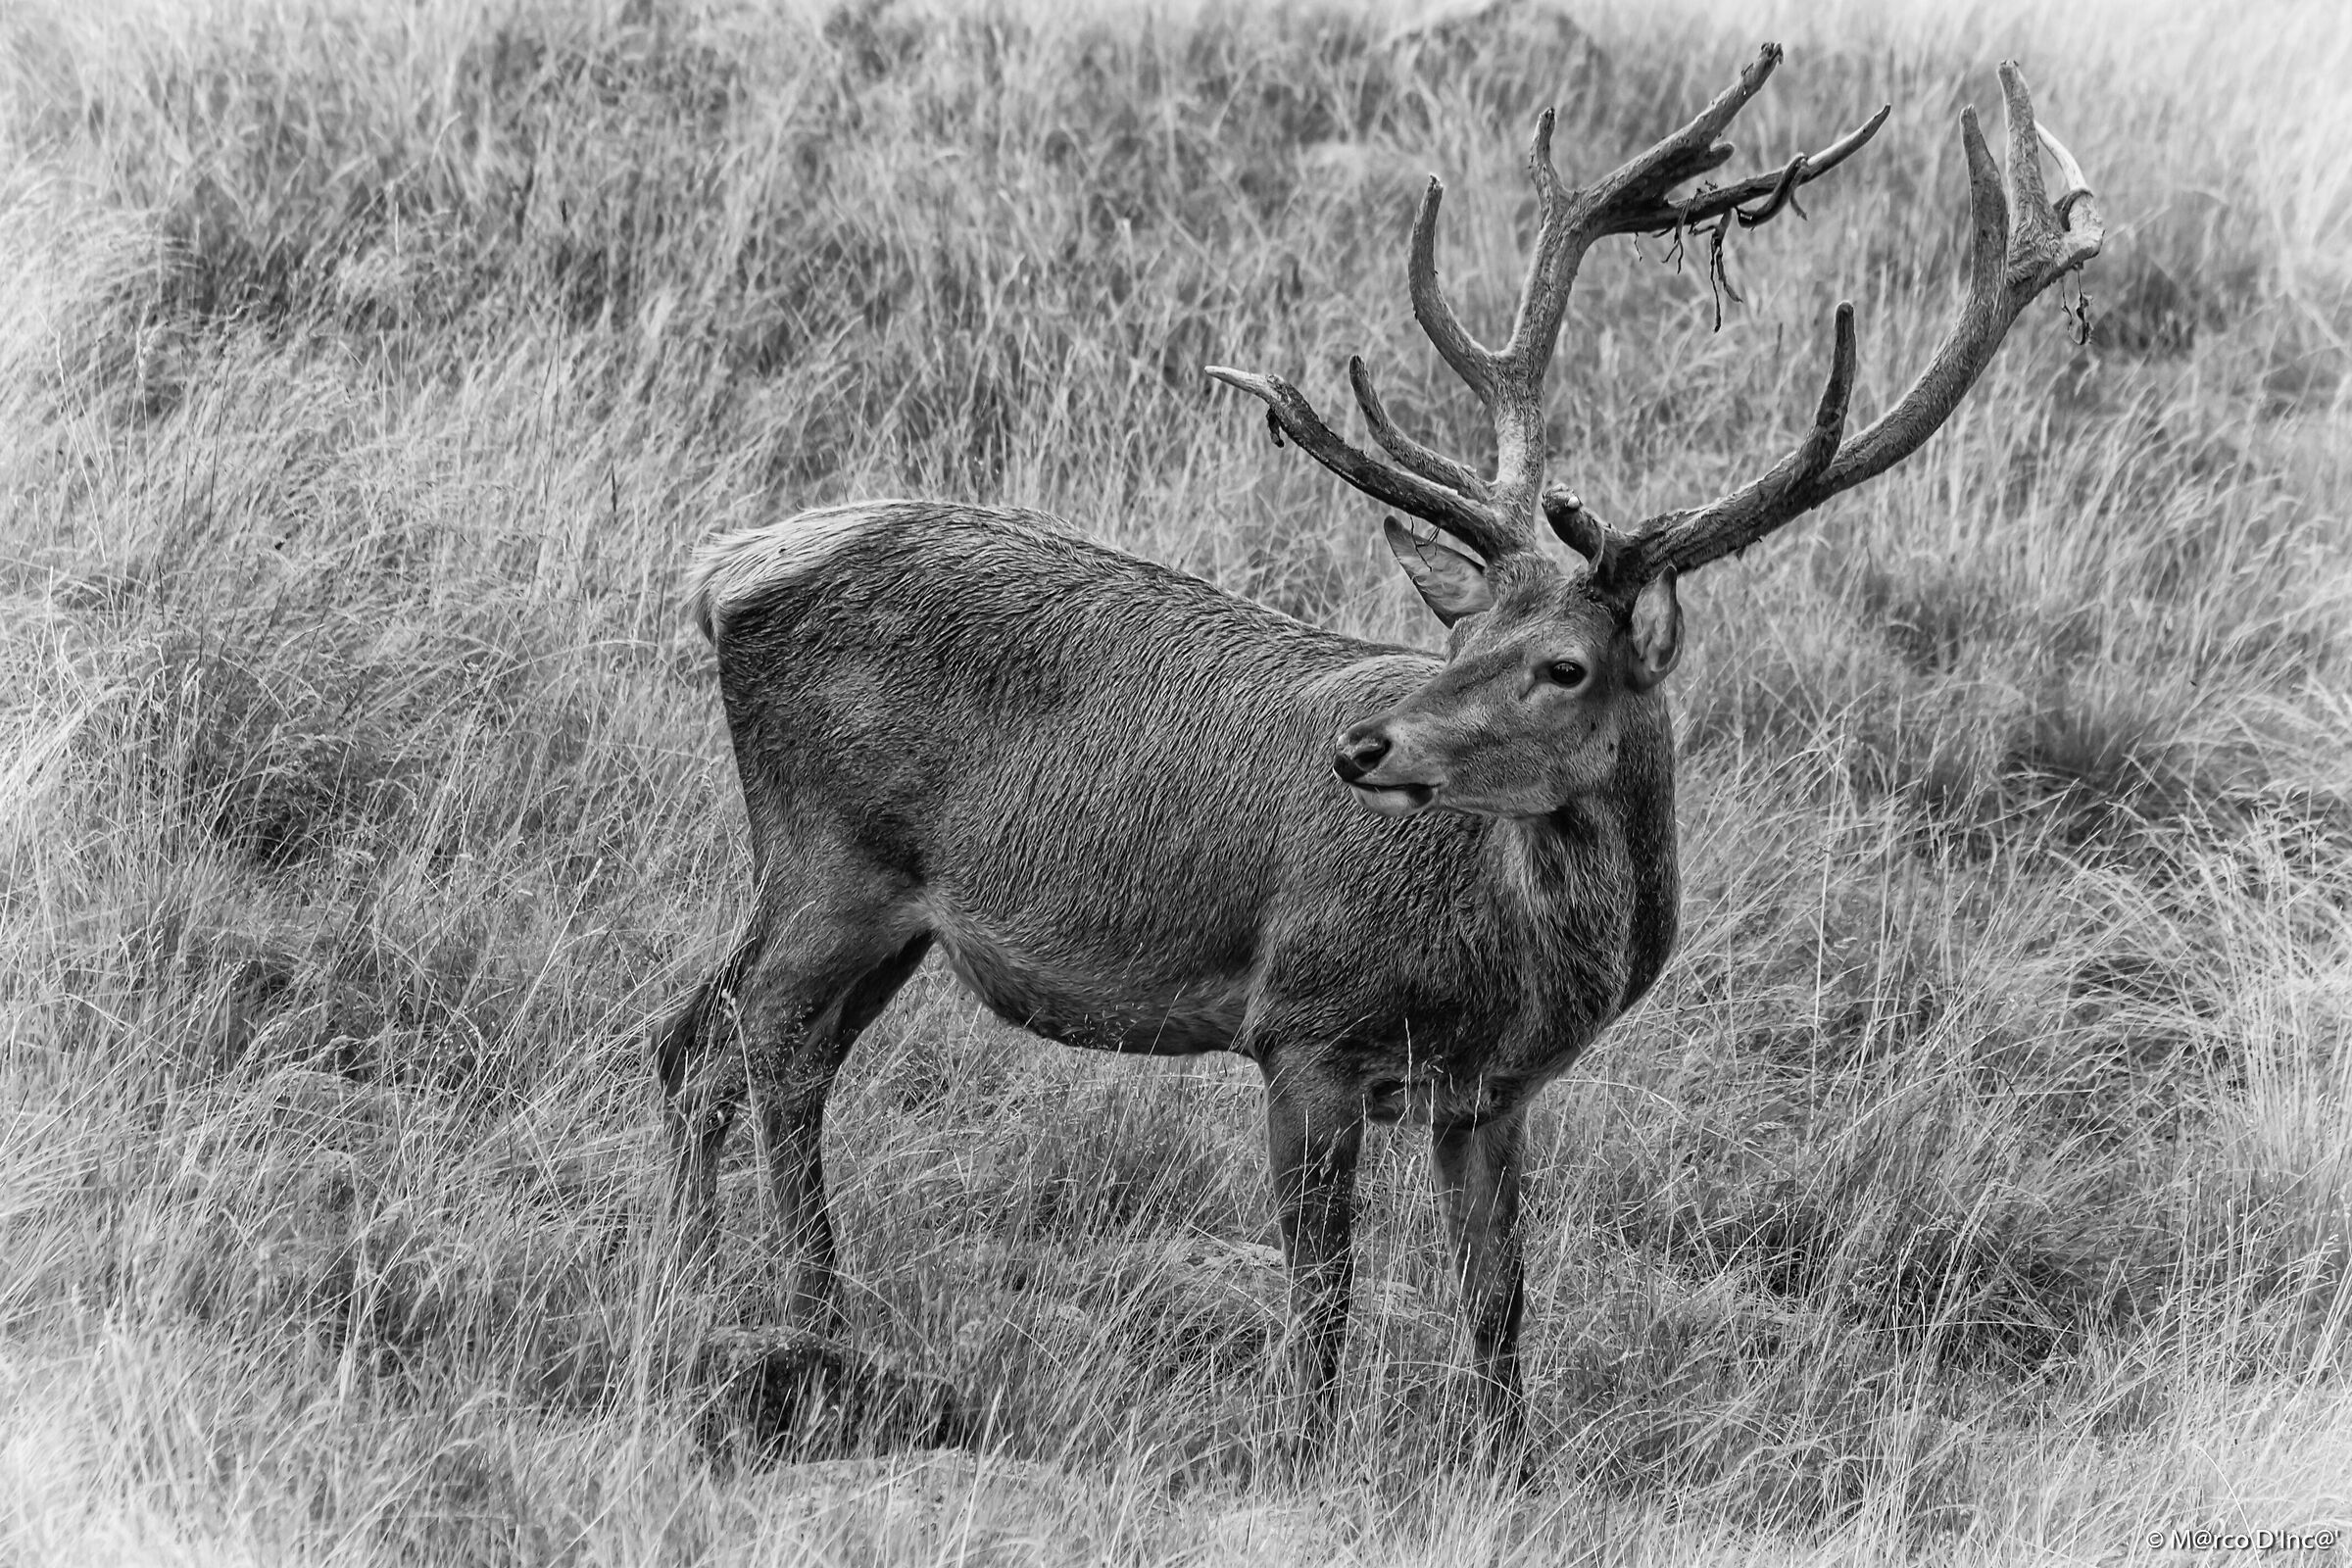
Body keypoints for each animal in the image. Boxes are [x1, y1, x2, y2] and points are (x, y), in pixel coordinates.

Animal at [656, 47, 2103, 1442]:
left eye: (1561, 665)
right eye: (1460, 637)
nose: (1362, 748)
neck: (1511, 970)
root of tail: (725, 569)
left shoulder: (1493, 1097)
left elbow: (1501, 1301)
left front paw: (1512, 1466)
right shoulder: (1305, 1022)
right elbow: (1323, 1288)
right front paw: (1306, 1451)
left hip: (896, 915)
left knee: (742, 1059)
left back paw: (754, 1298)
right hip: (830, 858)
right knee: (725, 1047)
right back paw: (760, 1315)